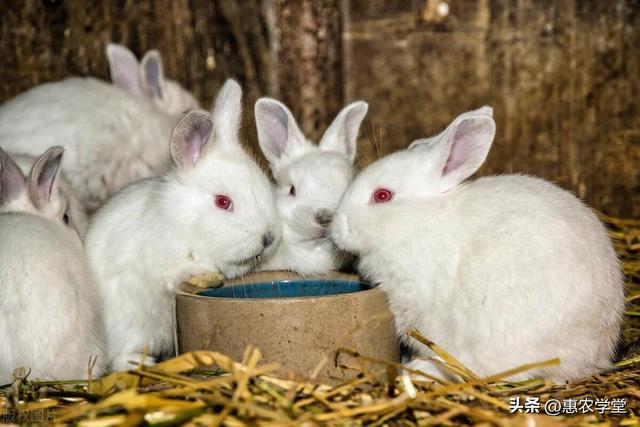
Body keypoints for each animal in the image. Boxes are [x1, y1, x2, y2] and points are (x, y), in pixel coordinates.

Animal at [87, 81, 280, 374]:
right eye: (223, 202)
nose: (268, 238)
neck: (183, 221)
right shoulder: (160, 260)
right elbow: (178, 271)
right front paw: (203, 271)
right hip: (129, 327)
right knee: (121, 357)